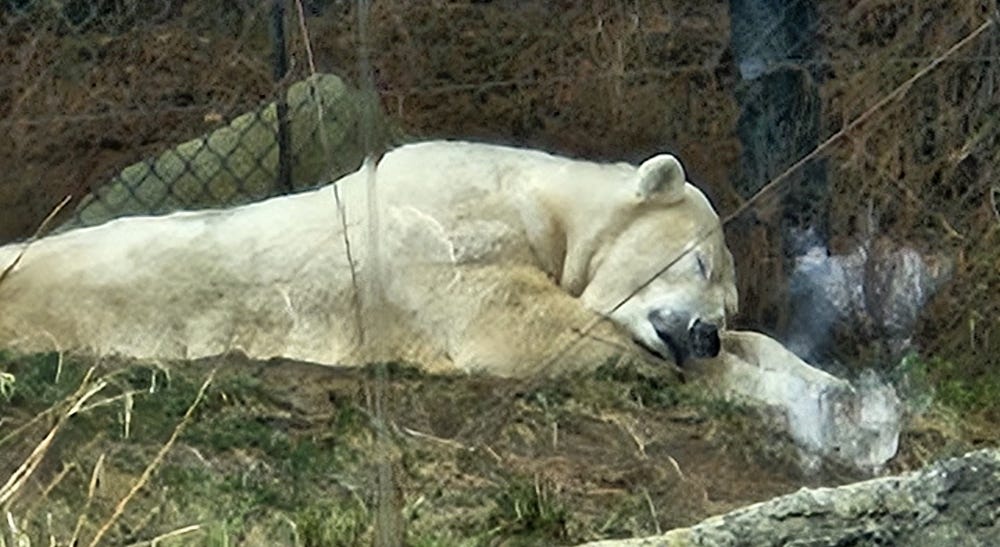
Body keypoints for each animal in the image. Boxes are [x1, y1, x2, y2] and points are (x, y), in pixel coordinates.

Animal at [0, 141, 736, 376]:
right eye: (699, 263)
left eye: (730, 305)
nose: (707, 335)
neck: (539, 198)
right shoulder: (448, 226)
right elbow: (520, 328)